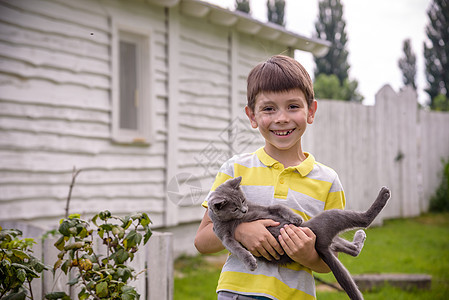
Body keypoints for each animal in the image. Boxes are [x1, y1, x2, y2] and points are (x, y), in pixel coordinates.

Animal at [208, 176, 390, 300]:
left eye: (243, 200)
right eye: (234, 208)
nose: (244, 211)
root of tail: (320, 246)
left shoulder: (265, 208)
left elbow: (278, 206)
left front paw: (295, 218)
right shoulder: (224, 236)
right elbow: (237, 248)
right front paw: (251, 262)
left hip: (328, 233)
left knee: (353, 246)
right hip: (328, 219)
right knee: (364, 222)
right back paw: (383, 196)